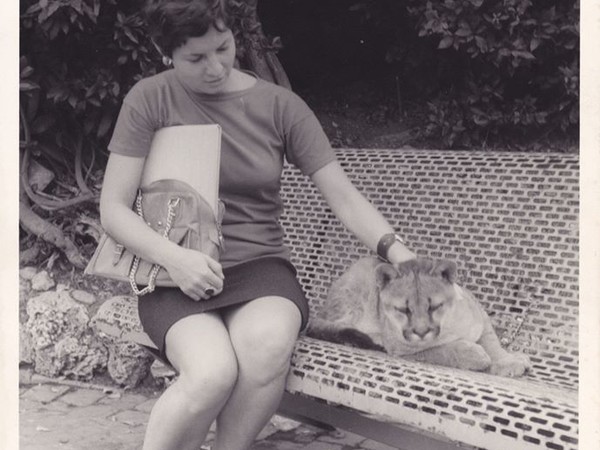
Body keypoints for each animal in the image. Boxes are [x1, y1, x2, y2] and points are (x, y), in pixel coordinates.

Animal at [310, 256, 528, 376]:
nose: (421, 331)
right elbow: (439, 350)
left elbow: (493, 343)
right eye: (403, 309)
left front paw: (508, 361)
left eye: (434, 306)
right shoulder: (403, 349)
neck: (450, 325)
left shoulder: (481, 318)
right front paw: (475, 355)